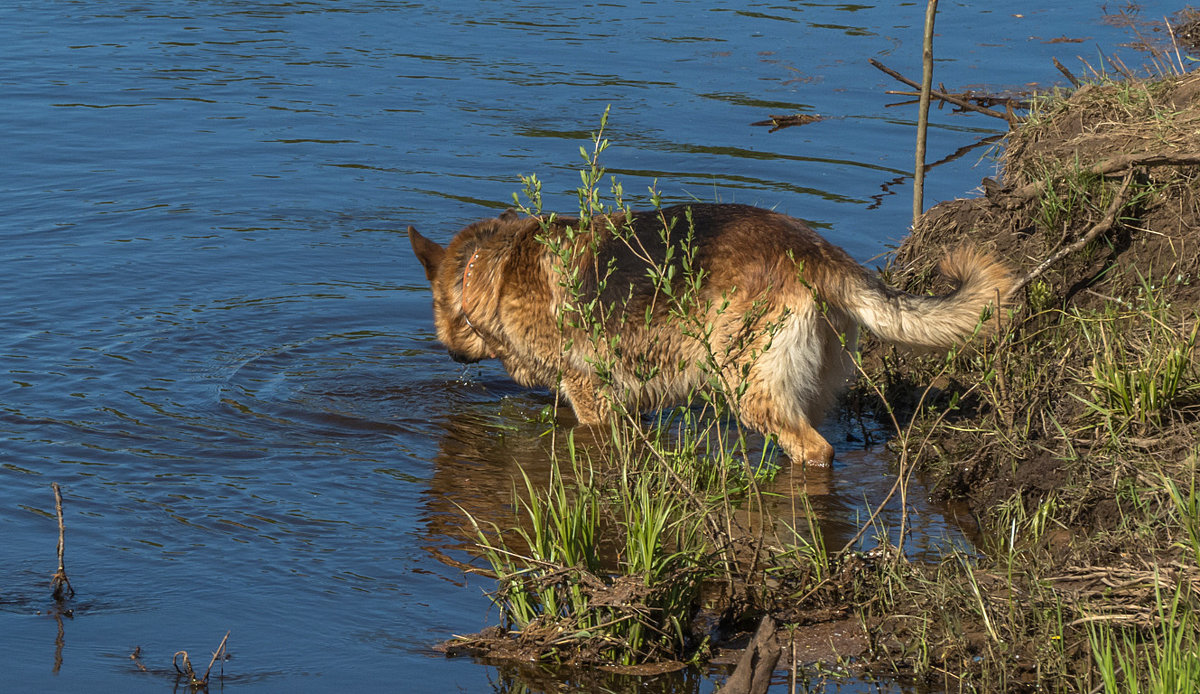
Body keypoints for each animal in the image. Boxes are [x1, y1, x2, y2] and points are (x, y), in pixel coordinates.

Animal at [408, 204, 1008, 465]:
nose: (449, 355)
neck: (492, 272)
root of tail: (816, 253)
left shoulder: (594, 402)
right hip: (807, 389)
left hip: (752, 388)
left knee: (813, 448)